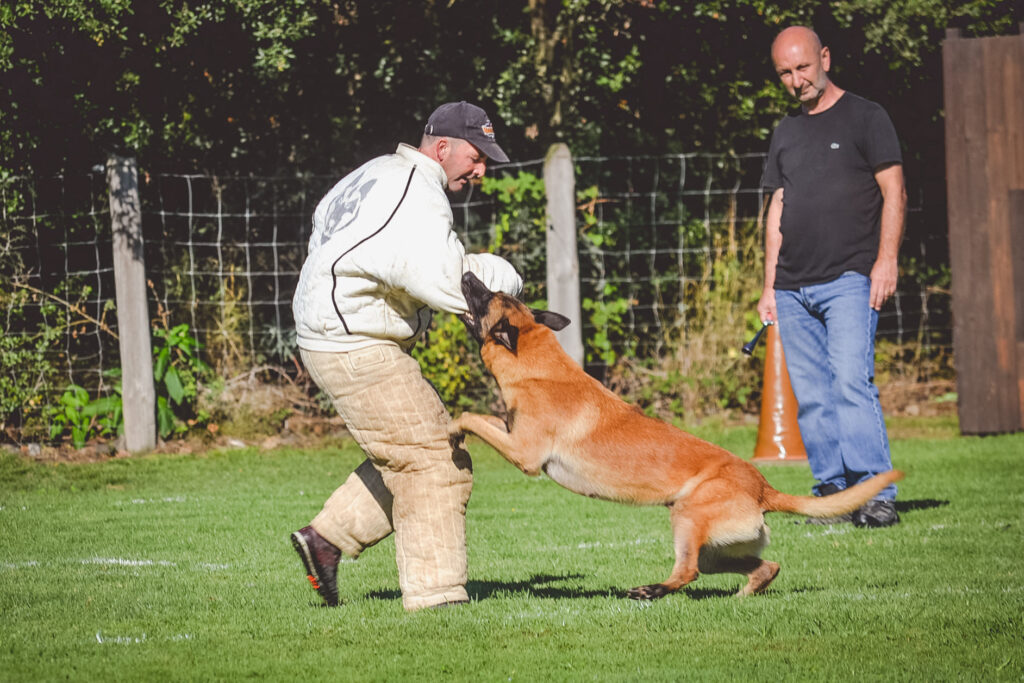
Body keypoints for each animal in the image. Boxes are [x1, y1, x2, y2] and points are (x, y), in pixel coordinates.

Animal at [452, 272, 901, 598]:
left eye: (485, 297)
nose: (468, 273)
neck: (535, 359)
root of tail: (763, 488)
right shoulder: (512, 432)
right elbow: (484, 417)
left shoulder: (525, 454)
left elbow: (470, 416)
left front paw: (454, 429)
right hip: (717, 548)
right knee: (762, 567)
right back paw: (741, 596)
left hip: (686, 519)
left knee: (687, 573)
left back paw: (651, 591)